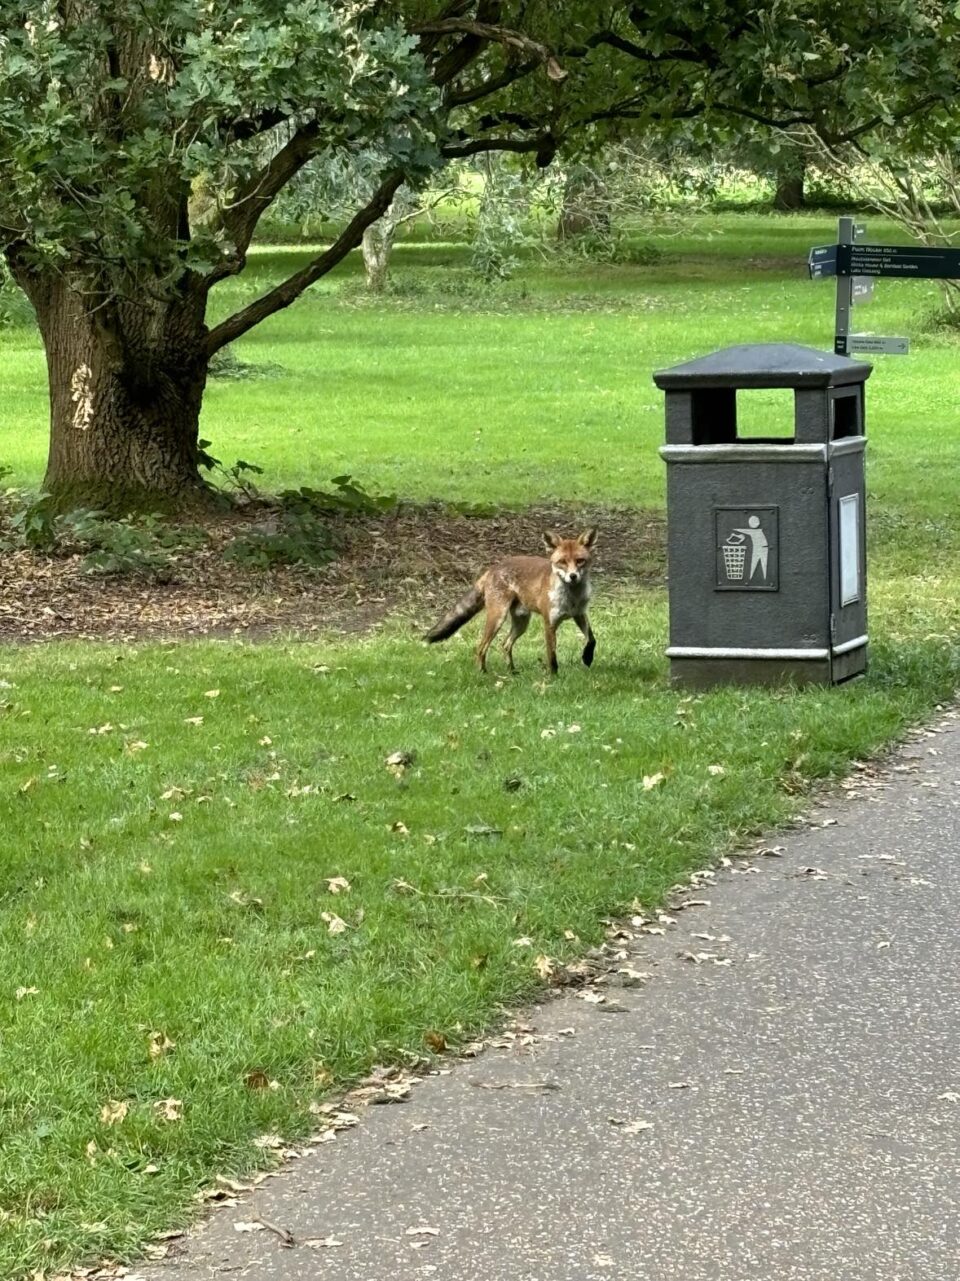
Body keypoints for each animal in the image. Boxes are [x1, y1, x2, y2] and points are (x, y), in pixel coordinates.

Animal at [422, 527, 594, 676]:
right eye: (562, 562)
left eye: (580, 561)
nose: (573, 576)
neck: (572, 598)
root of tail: (493, 567)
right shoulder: (549, 623)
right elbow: (552, 655)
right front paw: (554, 677)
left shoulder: (579, 614)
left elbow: (591, 639)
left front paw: (587, 657)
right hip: (497, 618)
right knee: (480, 647)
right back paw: (482, 673)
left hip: (521, 622)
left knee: (505, 644)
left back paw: (512, 671)